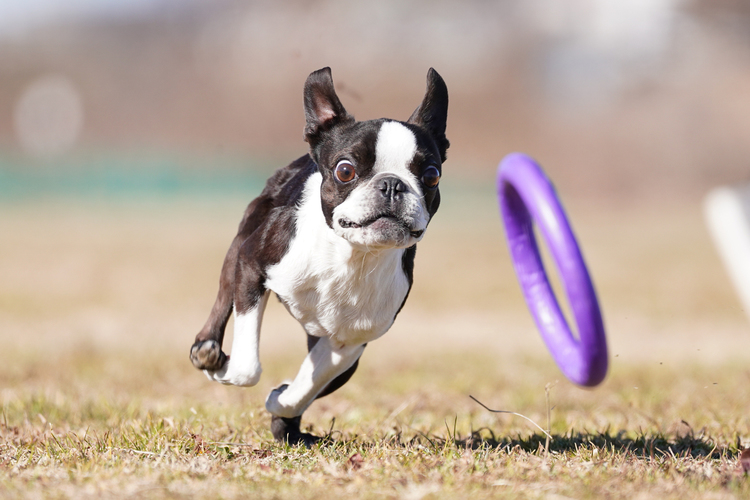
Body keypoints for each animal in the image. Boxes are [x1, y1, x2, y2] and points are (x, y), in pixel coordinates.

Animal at [189, 67, 446, 446]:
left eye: (431, 175)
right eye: (345, 170)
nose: (391, 184)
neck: (352, 256)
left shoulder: (350, 342)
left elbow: (308, 383)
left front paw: (281, 400)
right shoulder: (251, 265)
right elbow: (247, 367)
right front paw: (225, 368)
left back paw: (290, 429)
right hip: (240, 246)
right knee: (223, 298)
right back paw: (207, 351)